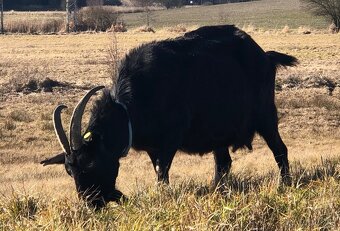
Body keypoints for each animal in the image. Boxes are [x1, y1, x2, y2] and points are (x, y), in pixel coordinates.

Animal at [41, 24, 298, 208]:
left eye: (92, 163)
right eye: (70, 170)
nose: (92, 203)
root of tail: (264, 56)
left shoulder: (171, 137)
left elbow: (161, 172)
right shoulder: (152, 147)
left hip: (266, 116)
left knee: (279, 149)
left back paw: (283, 185)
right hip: (219, 132)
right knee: (223, 163)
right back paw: (217, 190)